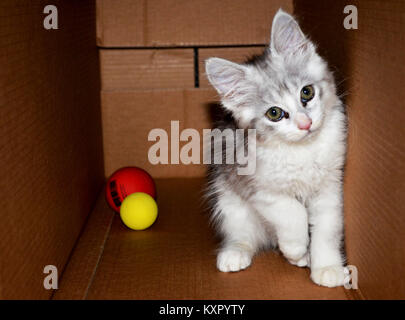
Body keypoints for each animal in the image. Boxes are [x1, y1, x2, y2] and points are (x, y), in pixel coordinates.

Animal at [205, 8, 348, 288]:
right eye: (274, 113)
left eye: (307, 93)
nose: (305, 124)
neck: (302, 149)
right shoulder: (252, 182)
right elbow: (290, 209)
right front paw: (295, 245)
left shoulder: (330, 185)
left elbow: (327, 227)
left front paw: (327, 266)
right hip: (228, 201)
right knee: (243, 234)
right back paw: (237, 252)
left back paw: (303, 259)